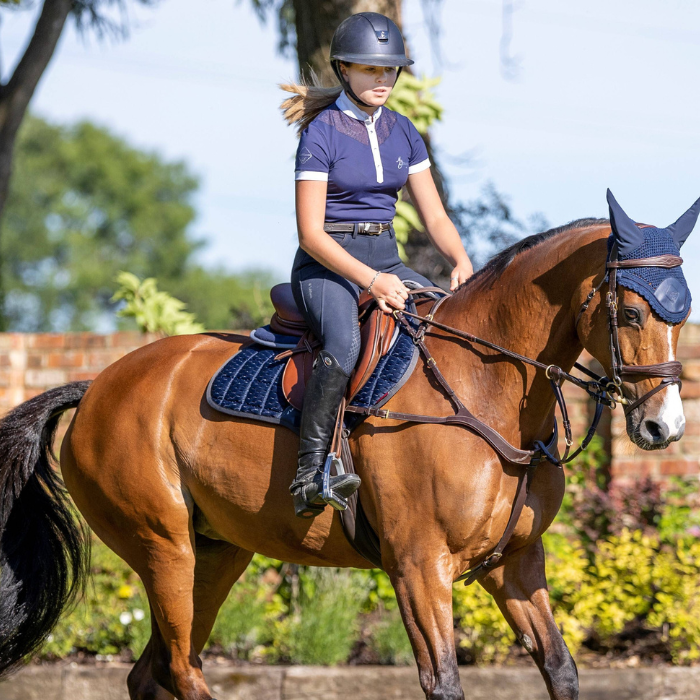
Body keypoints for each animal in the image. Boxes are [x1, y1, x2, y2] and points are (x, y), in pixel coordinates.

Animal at [0, 215, 688, 700]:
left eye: (681, 316)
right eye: (630, 312)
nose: (665, 426)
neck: (483, 388)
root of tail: (96, 387)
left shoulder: (516, 563)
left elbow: (561, 669)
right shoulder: (418, 566)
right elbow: (443, 681)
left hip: (216, 554)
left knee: (158, 673)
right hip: (162, 546)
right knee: (182, 672)